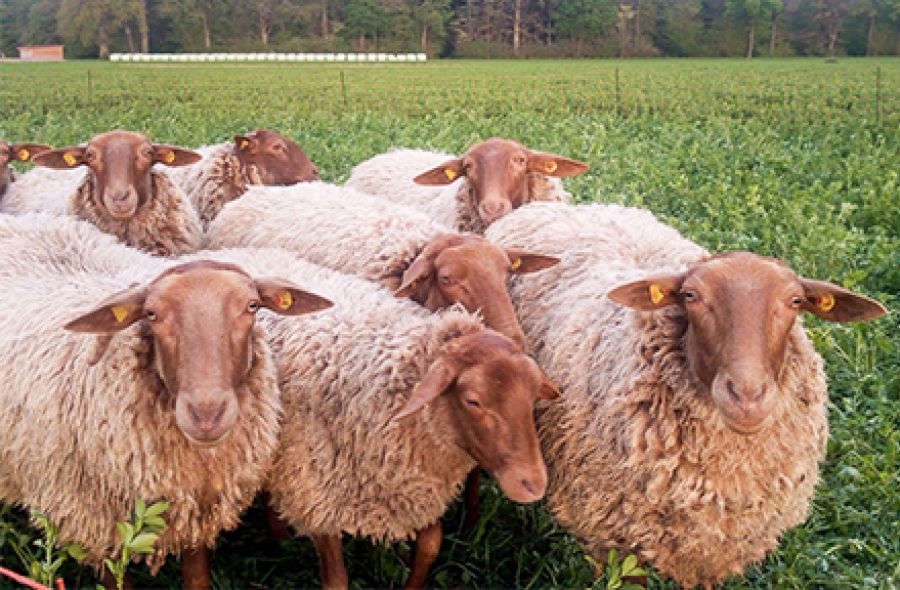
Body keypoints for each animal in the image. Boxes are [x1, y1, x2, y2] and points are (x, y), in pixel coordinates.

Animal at [0, 213, 332, 590]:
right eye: (152, 314)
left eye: (251, 306)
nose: (207, 414)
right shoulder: (95, 523)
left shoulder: (194, 508)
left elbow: (198, 576)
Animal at [197, 246, 560, 590]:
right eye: (473, 400)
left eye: (532, 396)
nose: (534, 485)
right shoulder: (317, 494)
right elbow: (337, 579)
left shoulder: (416, 487)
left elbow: (431, 545)